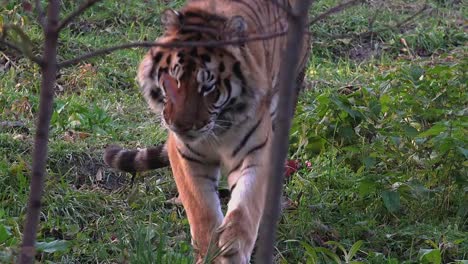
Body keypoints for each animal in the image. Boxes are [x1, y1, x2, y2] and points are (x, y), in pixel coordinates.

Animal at [103, 1, 308, 262]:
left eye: (208, 87)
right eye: (174, 80)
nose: (180, 125)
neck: (217, 129)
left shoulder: (257, 150)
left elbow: (246, 206)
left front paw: (234, 246)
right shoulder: (186, 156)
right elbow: (201, 210)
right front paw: (210, 251)